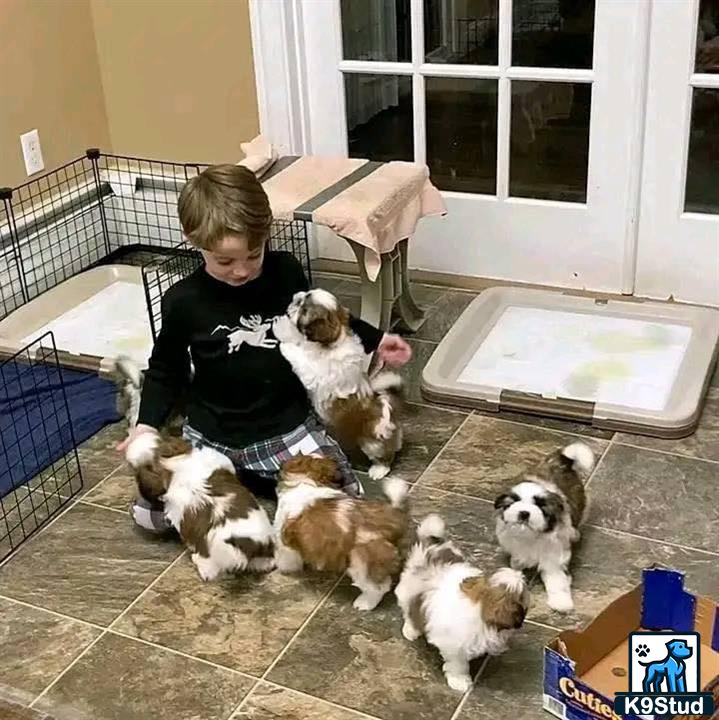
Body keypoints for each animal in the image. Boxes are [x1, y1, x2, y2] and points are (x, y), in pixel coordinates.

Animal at [272, 290, 402, 480]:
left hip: (372, 440)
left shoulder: (314, 372)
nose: (297, 296)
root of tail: (390, 408)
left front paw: (283, 337)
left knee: (383, 454)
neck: (331, 342)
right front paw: (284, 330)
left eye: (304, 309)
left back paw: (379, 469)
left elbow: (299, 356)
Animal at [274, 452, 410, 612]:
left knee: (379, 587)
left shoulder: (284, 540)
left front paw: (283, 568)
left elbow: (286, 557)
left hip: (361, 562)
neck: (306, 482)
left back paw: (364, 603)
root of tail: (394, 520)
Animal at [394, 512, 528, 692]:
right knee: (408, 609)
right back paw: (411, 630)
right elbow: (458, 664)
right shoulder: (454, 646)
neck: (481, 602)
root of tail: (430, 546)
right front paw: (460, 681)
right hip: (408, 589)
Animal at [492, 438, 592, 612]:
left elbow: (557, 580)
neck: (532, 536)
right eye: (514, 501)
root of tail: (562, 460)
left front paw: (561, 603)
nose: (524, 513)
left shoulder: (555, 555)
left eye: (540, 505)